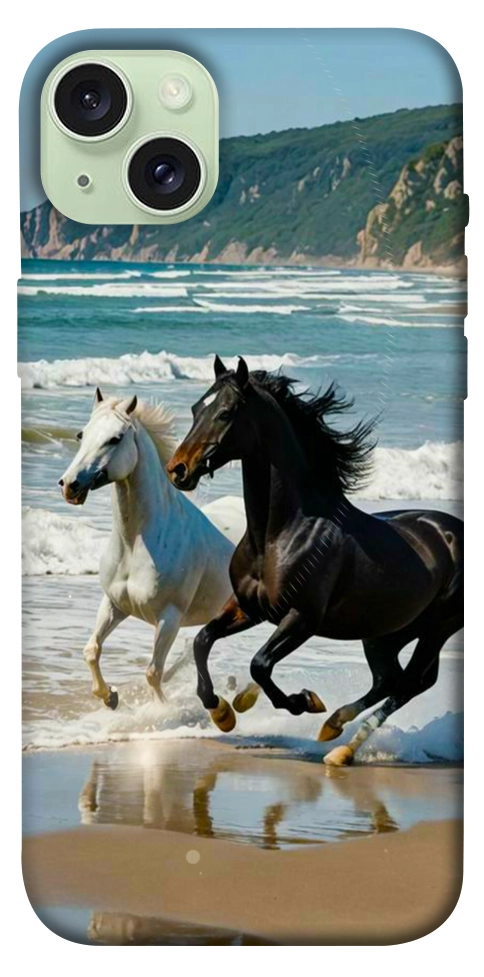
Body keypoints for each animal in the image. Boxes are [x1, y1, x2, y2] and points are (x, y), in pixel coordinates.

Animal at [59, 388, 234, 709]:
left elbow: (153, 672)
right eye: (81, 434)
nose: (69, 485)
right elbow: (91, 650)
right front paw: (110, 697)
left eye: (115, 438)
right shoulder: (114, 604)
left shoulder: (169, 618)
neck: (135, 544)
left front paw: (161, 711)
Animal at [166, 356, 463, 765]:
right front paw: (223, 711)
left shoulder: (302, 618)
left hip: (437, 628)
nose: (177, 469)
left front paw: (302, 701)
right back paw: (334, 729)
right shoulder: (248, 608)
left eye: (225, 412)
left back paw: (341, 746)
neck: (279, 534)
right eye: (197, 408)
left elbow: (260, 664)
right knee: (390, 679)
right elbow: (202, 640)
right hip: (386, 632)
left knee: (410, 683)